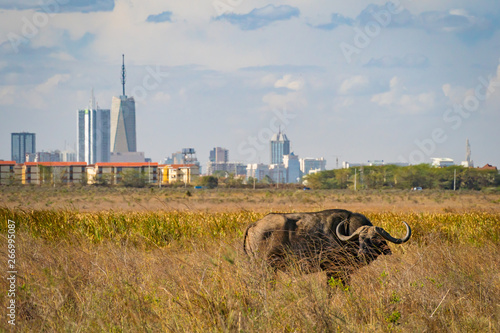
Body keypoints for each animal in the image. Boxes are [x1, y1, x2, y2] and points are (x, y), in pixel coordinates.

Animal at [242, 208, 410, 282]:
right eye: (361, 238)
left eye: (375, 238)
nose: (363, 252)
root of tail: (254, 224)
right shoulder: (335, 270)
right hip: (264, 268)